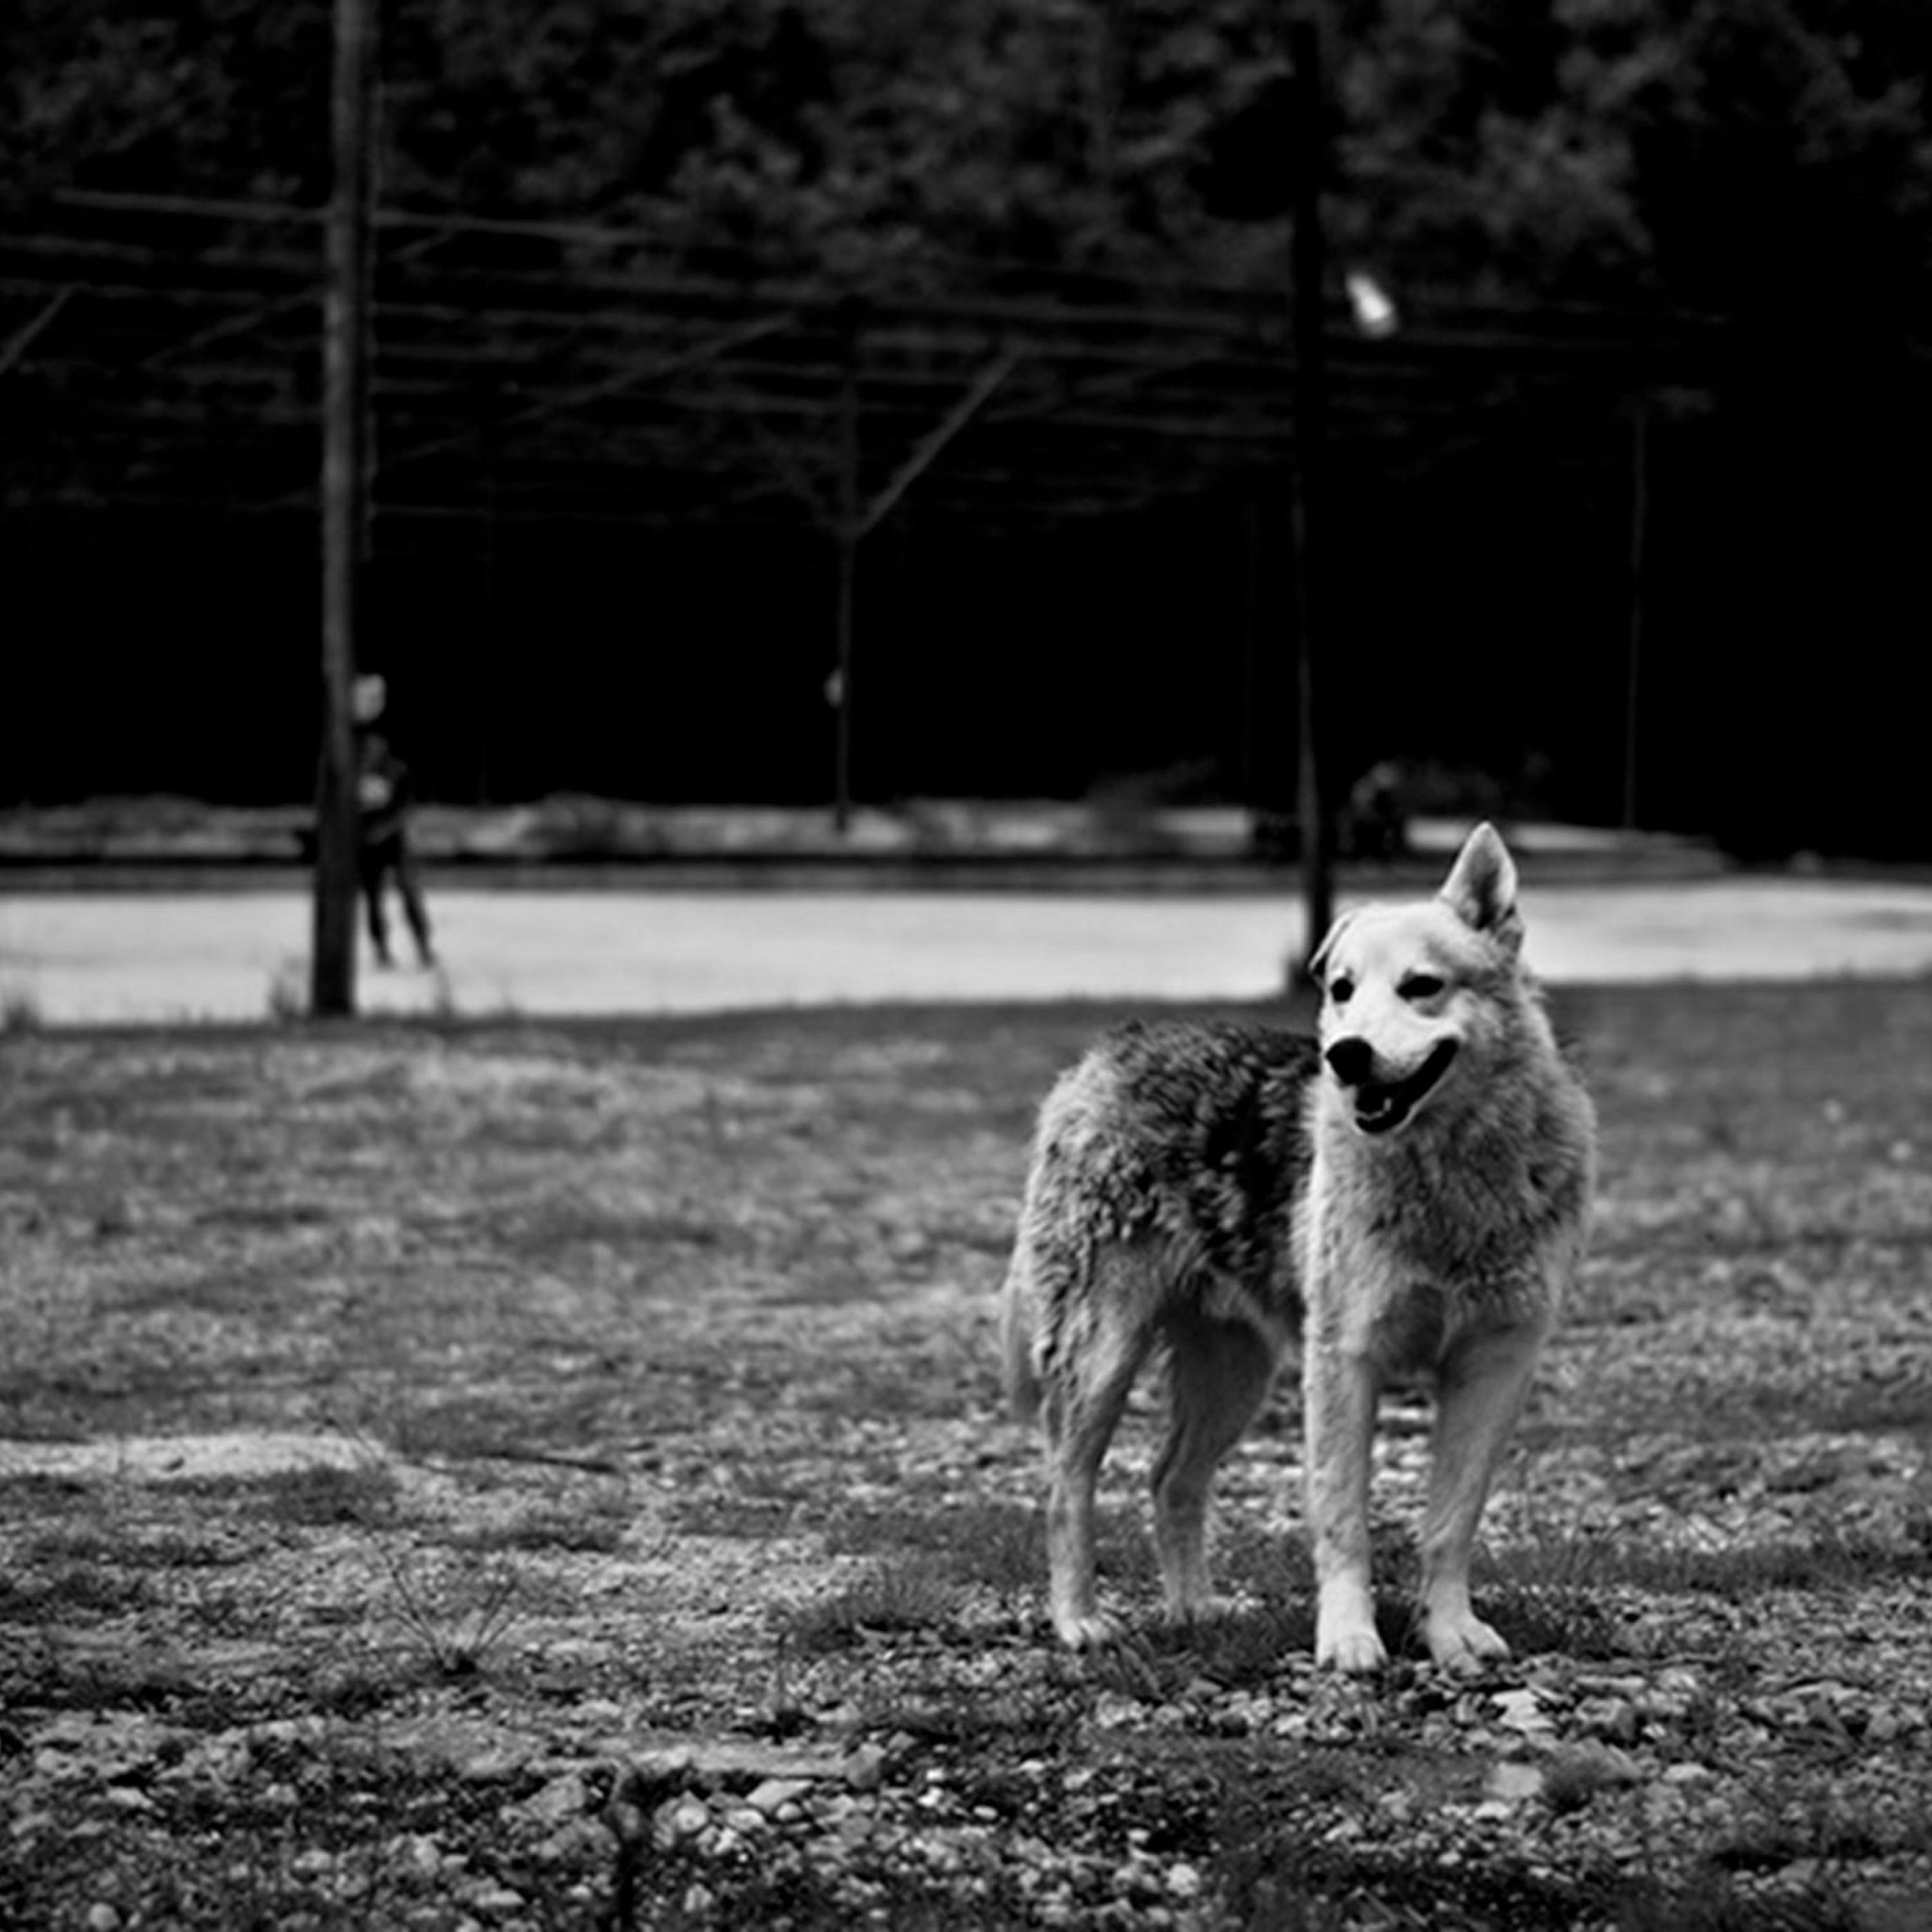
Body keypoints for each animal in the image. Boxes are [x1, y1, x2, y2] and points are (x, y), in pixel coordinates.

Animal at [1000, 823, 1595, 1672]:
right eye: (1341, 990)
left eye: (1422, 986)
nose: (1345, 1055)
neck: (1449, 1179)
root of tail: (1099, 1058)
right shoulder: (1345, 1360)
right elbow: (1343, 1521)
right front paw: (1348, 1639)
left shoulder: (1495, 1364)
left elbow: (1451, 1522)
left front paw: (1448, 1633)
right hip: (1103, 1357)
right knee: (1065, 1489)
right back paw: (1079, 1621)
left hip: (1236, 1374)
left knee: (1169, 1480)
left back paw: (1195, 1612)